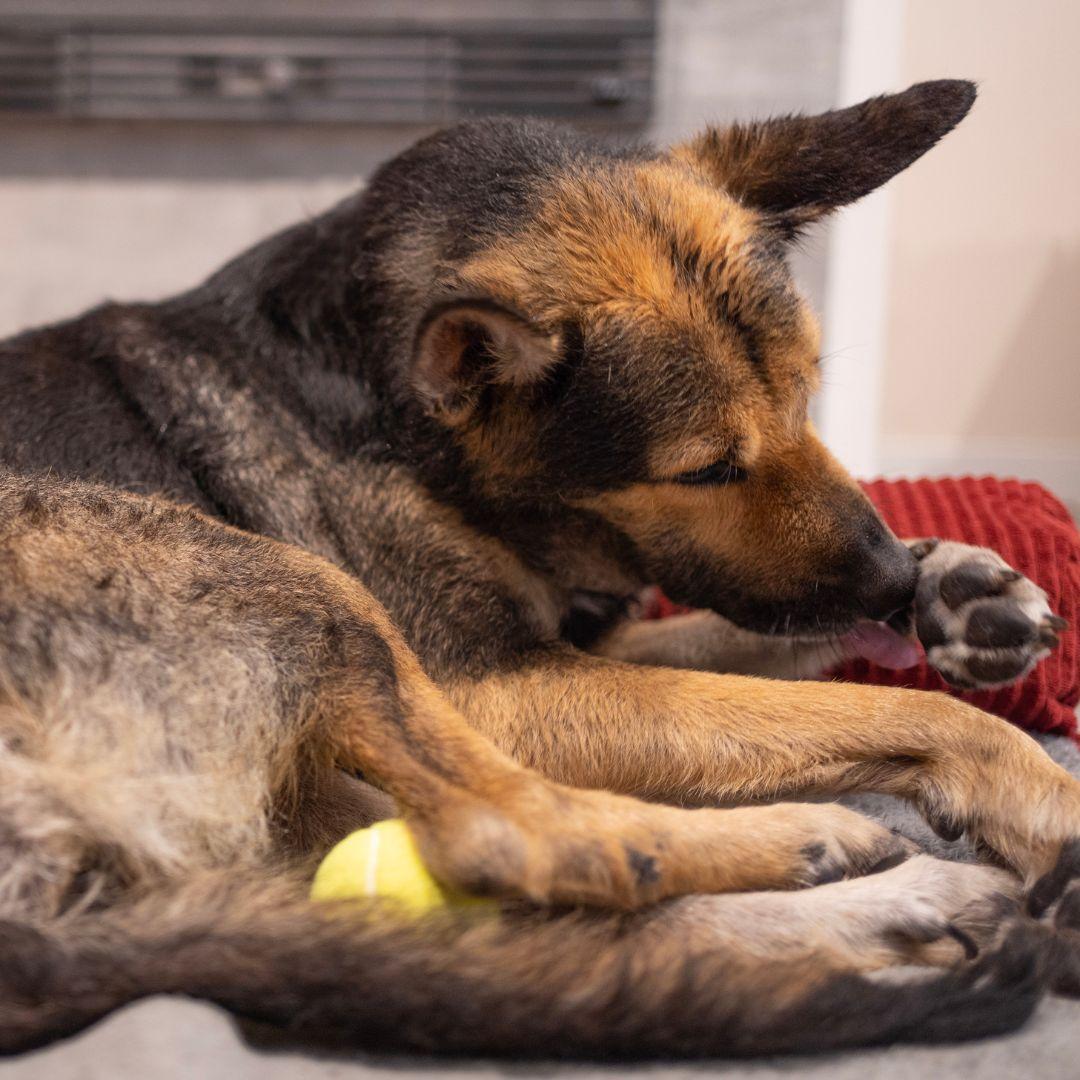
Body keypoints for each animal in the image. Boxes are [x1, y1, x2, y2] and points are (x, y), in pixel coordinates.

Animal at [2, 79, 1080, 1058]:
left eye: (807, 399)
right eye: (706, 470)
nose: (889, 580)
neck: (377, 400)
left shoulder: (581, 645)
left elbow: (752, 652)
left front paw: (958, 586)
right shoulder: (498, 689)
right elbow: (901, 711)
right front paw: (1040, 792)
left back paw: (905, 905)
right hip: (304, 591)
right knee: (512, 841)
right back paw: (812, 843)